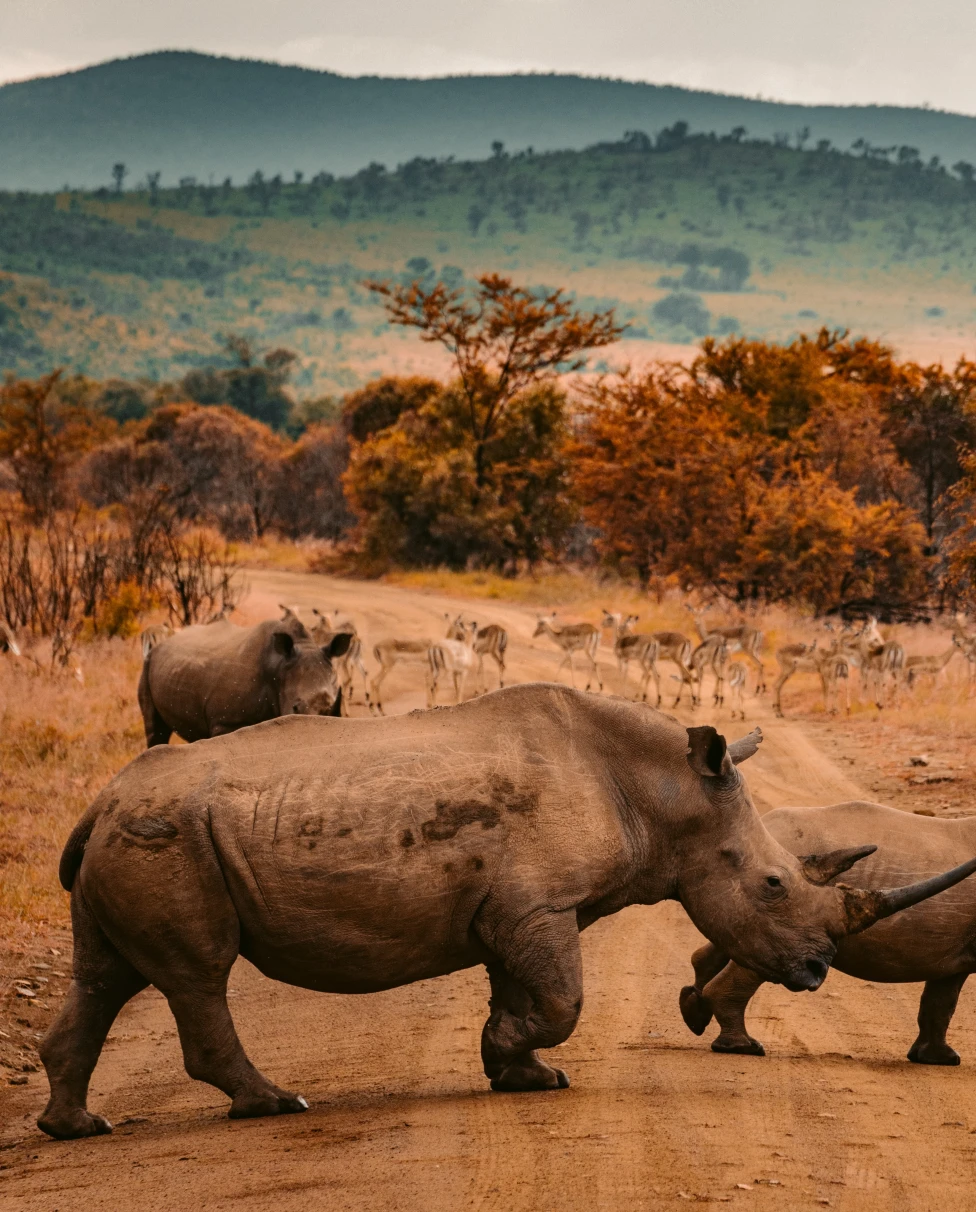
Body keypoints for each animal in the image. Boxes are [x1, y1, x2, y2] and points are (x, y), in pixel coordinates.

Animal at [137, 615, 352, 746]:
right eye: (295, 708)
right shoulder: (226, 722)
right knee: (155, 730)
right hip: (148, 663)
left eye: (333, 709)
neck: (278, 668)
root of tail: (163, 641)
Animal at [679, 800, 976, 1064]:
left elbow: (941, 1000)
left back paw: (695, 1014)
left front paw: (937, 1060)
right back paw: (744, 1048)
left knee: (731, 939)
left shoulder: (953, 949)